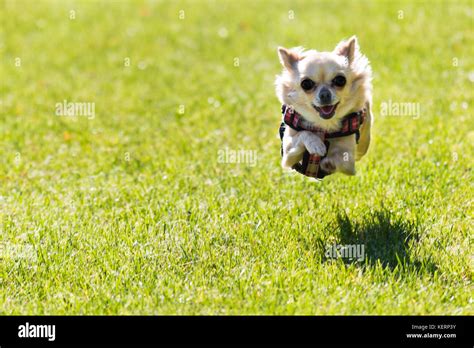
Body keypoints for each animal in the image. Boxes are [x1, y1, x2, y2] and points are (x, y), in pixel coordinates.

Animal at [276, 36, 372, 175]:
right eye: (306, 84)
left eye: (340, 80)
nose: (325, 94)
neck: (324, 125)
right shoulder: (287, 156)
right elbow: (304, 133)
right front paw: (316, 144)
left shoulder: (349, 163)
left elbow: (340, 159)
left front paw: (328, 162)